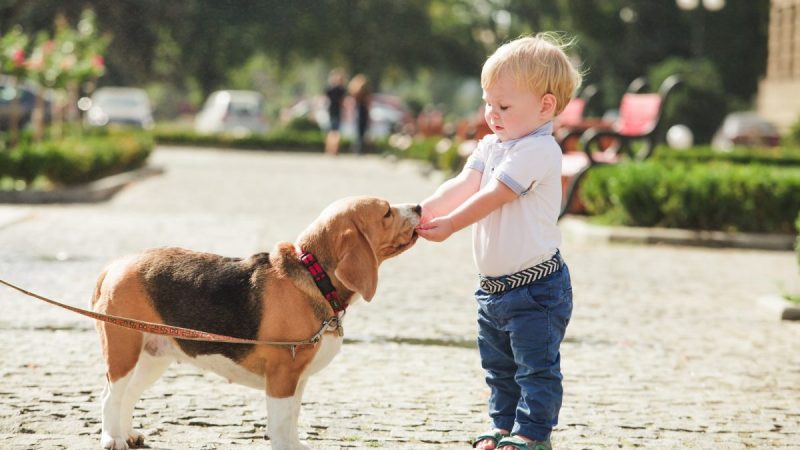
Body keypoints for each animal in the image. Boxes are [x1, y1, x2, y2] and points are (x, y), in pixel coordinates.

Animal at [91, 198, 422, 450]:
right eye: (386, 212)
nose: (418, 206)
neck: (314, 275)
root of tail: (116, 265)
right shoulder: (282, 375)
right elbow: (280, 424)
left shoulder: (297, 379)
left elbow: (292, 420)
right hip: (123, 352)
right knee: (110, 395)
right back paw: (112, 439)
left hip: (152, 357)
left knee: (128, 394)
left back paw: (127, 434)